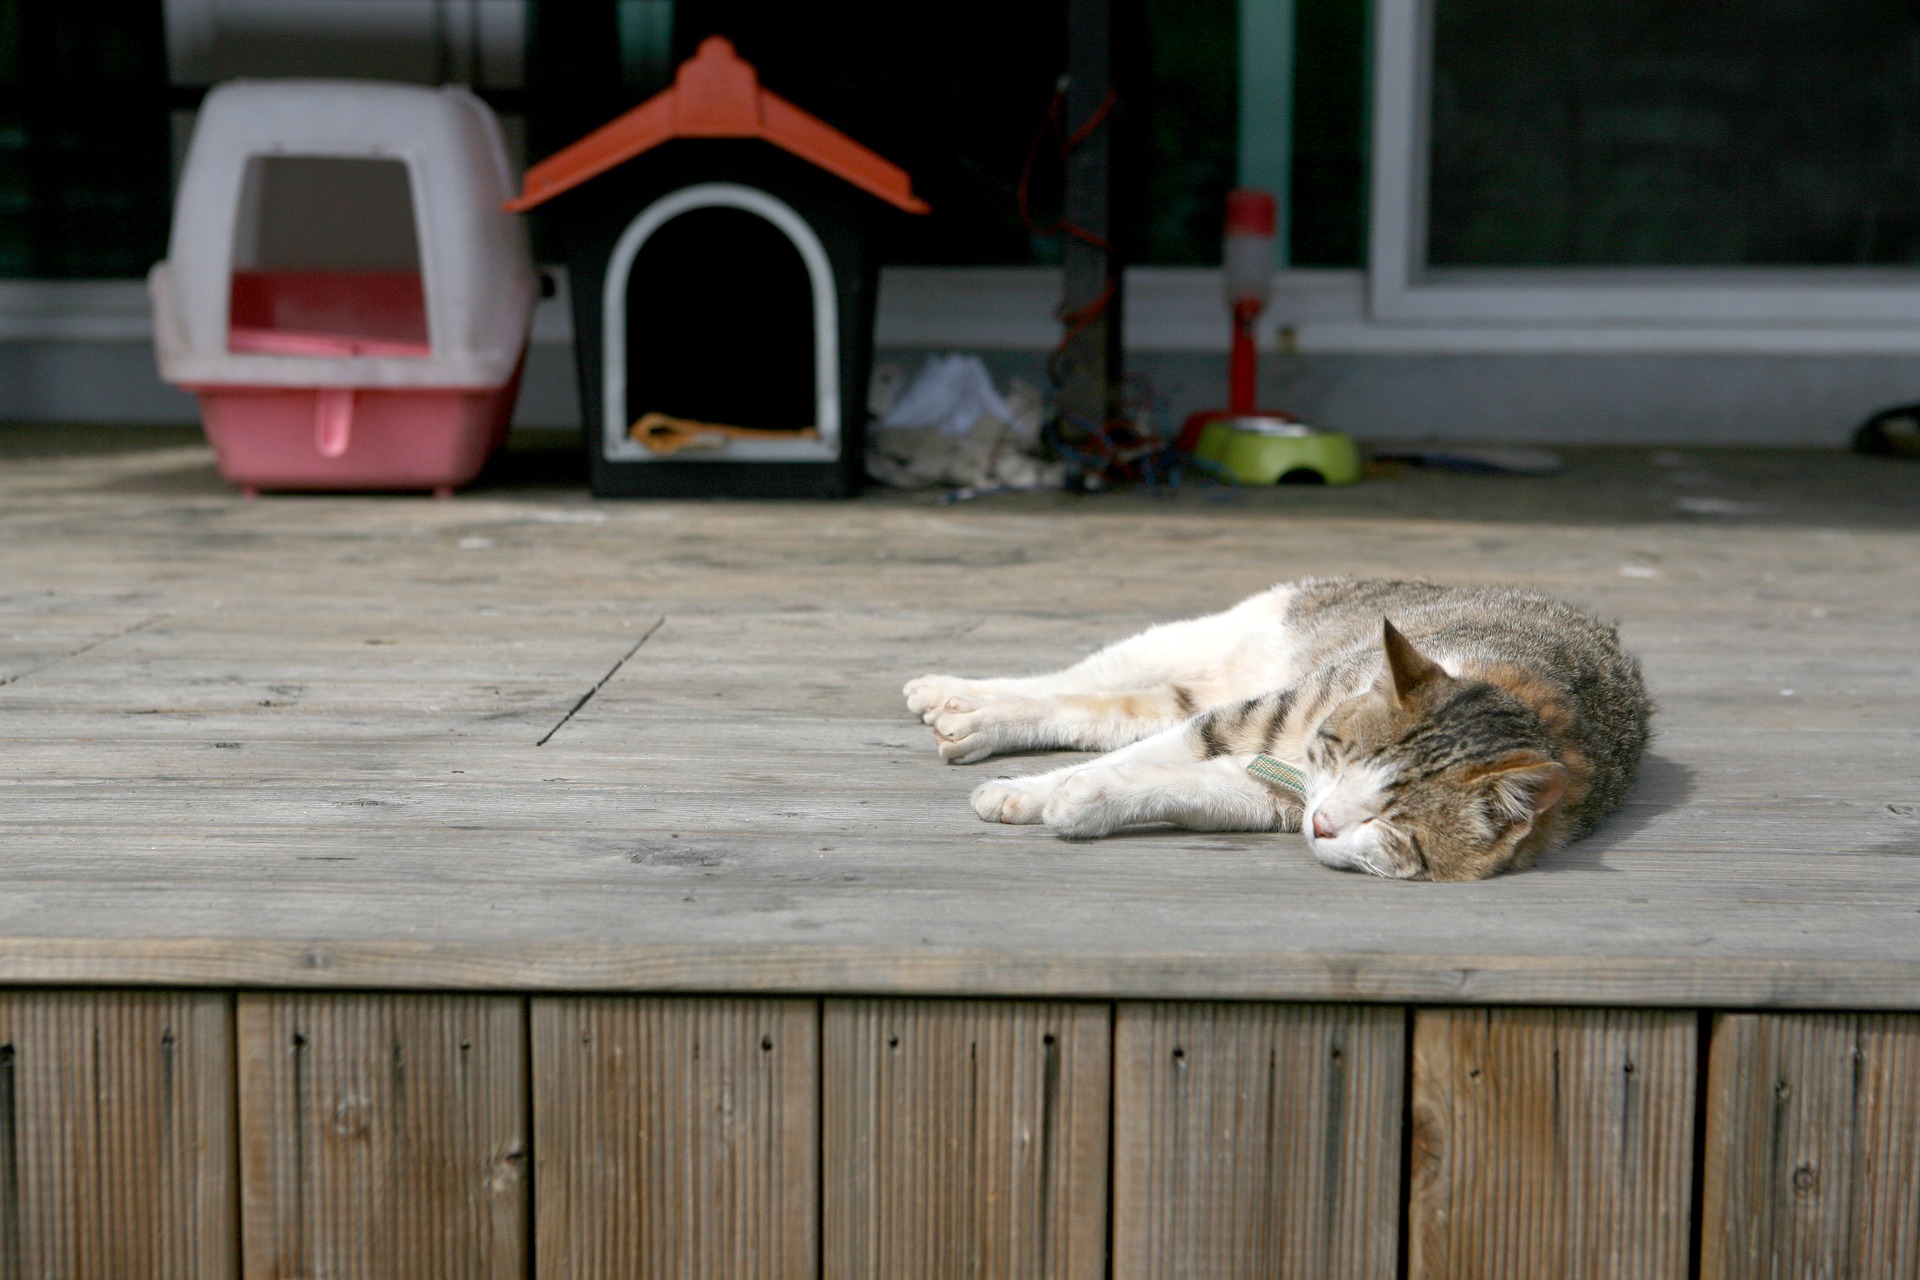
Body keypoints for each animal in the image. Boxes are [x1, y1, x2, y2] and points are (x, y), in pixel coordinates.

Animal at [902, 579, 1651, 882]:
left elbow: (1160, 782)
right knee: (1066, 682)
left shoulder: (1265, 793)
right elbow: (1147, 753)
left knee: (1103, 710)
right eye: (1344, 758)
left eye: (1394, 823)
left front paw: (1086, 803)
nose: (1323, 824)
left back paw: (966, 718)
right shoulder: (1246, 721)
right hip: (1211, 639)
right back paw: (957, 697)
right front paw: (1025, 794)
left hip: (1191, 688)